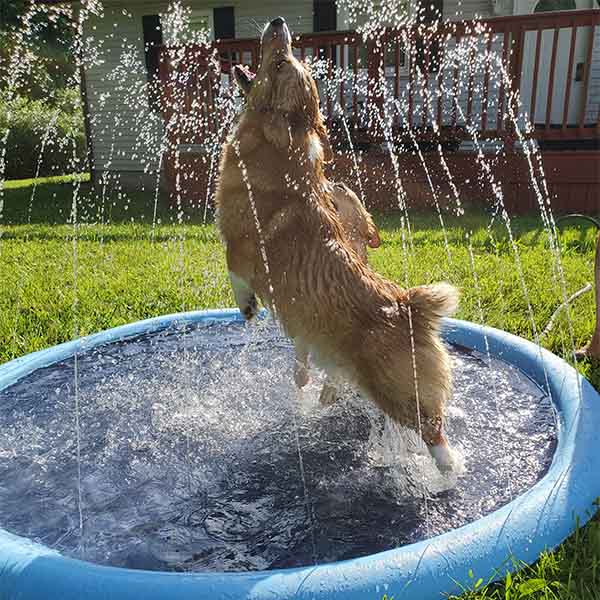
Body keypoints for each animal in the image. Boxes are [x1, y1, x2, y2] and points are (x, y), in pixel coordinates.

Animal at [216, 16, 460, 472]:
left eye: (280, 64)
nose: (279, 22)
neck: (278, 150)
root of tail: (410, 308)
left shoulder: (240, 249)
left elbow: (235, 274)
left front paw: (248, 307)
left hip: (397, 393)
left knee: (435, 434)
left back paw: (446, 474)